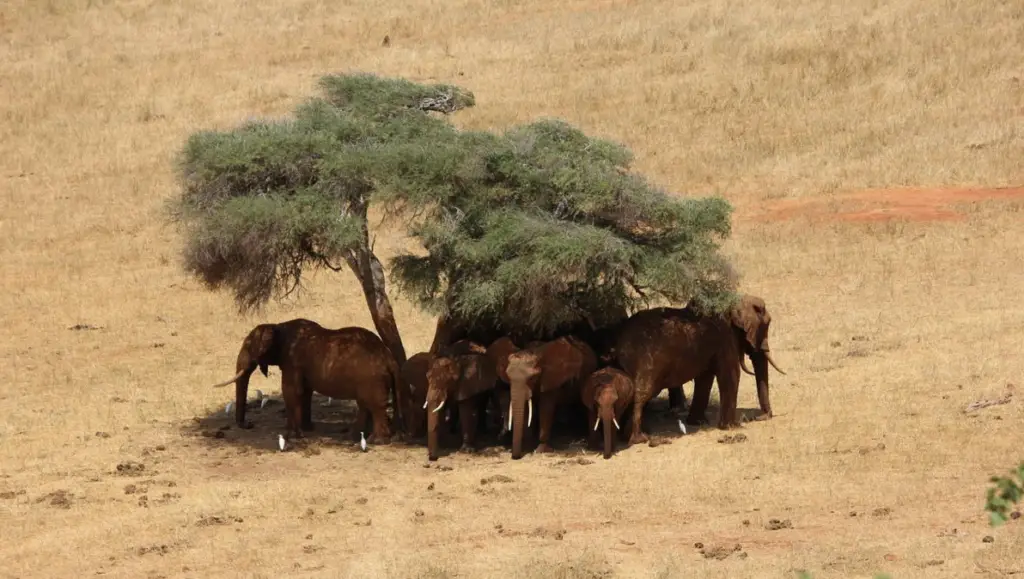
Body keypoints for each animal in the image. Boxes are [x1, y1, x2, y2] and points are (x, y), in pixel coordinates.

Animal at [207, 317, 407, 440]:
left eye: (248, 344)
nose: (248, 424)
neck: (277, 326)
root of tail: (390, 359)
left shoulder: (292, 361)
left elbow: (291, 390)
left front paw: (292, 435)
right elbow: (305, 392)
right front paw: (307, 429)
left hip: (371, 380)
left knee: (374, 405)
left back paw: (376, 440)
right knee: (365, 405)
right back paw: (354, 436)